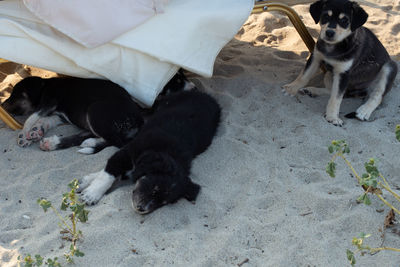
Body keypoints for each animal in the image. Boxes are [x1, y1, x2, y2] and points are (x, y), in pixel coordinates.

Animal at [77, 91, 222, 215]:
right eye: (154, 188)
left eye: (163, 203)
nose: (142, 209)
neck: (163, 150)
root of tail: (205, 95)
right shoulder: (126, 153)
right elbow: (107, 174)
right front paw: (91, 194)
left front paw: (86, 183)